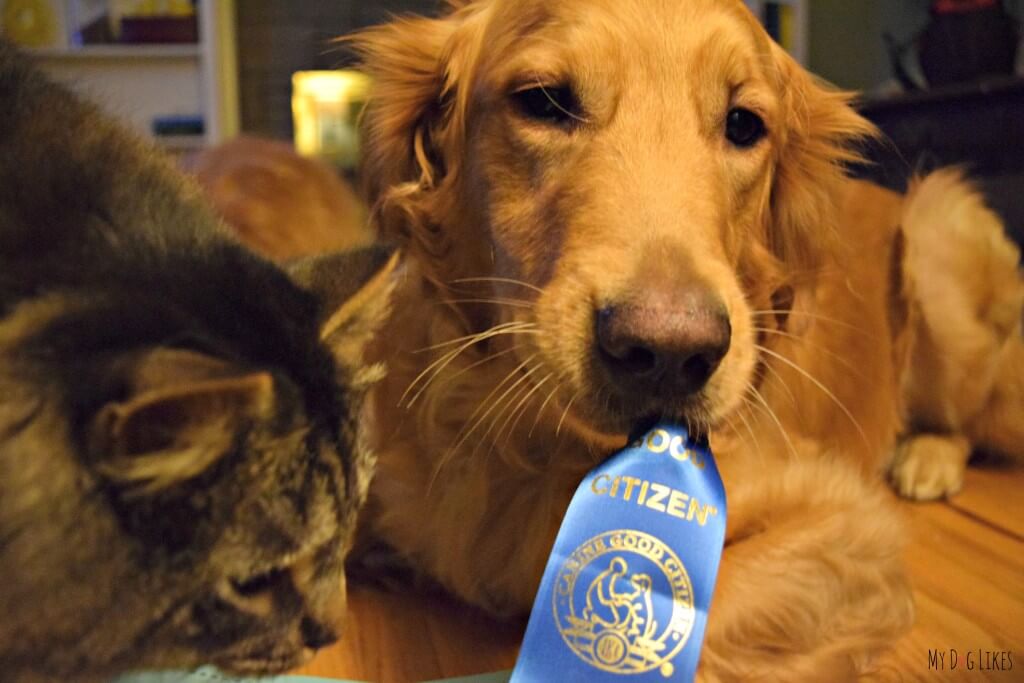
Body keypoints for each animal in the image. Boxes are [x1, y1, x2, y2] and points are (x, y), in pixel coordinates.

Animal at [346, 0, 1024, 679]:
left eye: (744, 124)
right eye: (543, 101)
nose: (669, 354)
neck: (540, 449)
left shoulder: (844, 521)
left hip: (937, 229)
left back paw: (926, 456)